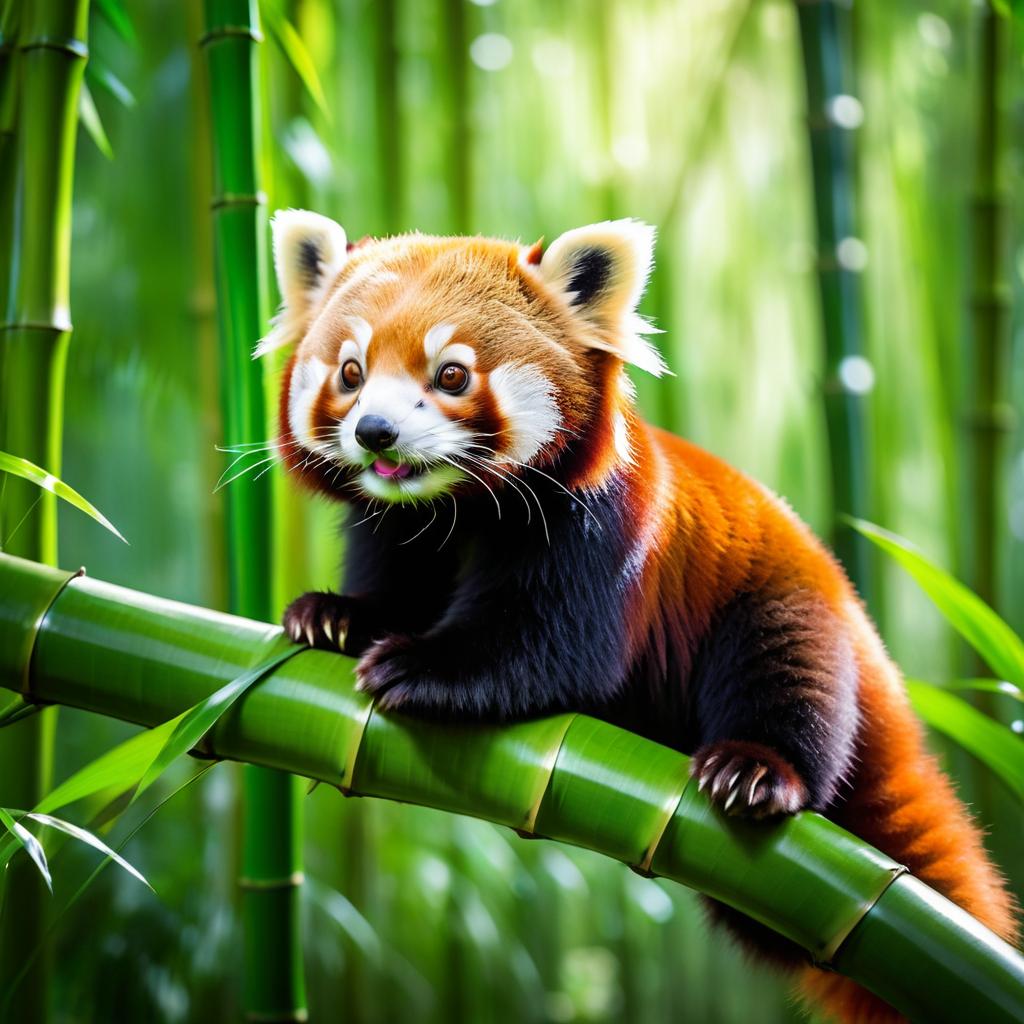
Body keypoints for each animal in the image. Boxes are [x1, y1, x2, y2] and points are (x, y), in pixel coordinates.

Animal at [262, 209, 1015, 1024]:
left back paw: (758, 768)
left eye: (452, 374)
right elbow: (394, 582)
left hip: (787, 607)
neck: (457, 509)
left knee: (792, 681)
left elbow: (547, 649)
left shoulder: (599, 528)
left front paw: (419, 665)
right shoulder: (396, 527)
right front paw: (339, 617)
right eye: (351, 371)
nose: (376, 431)